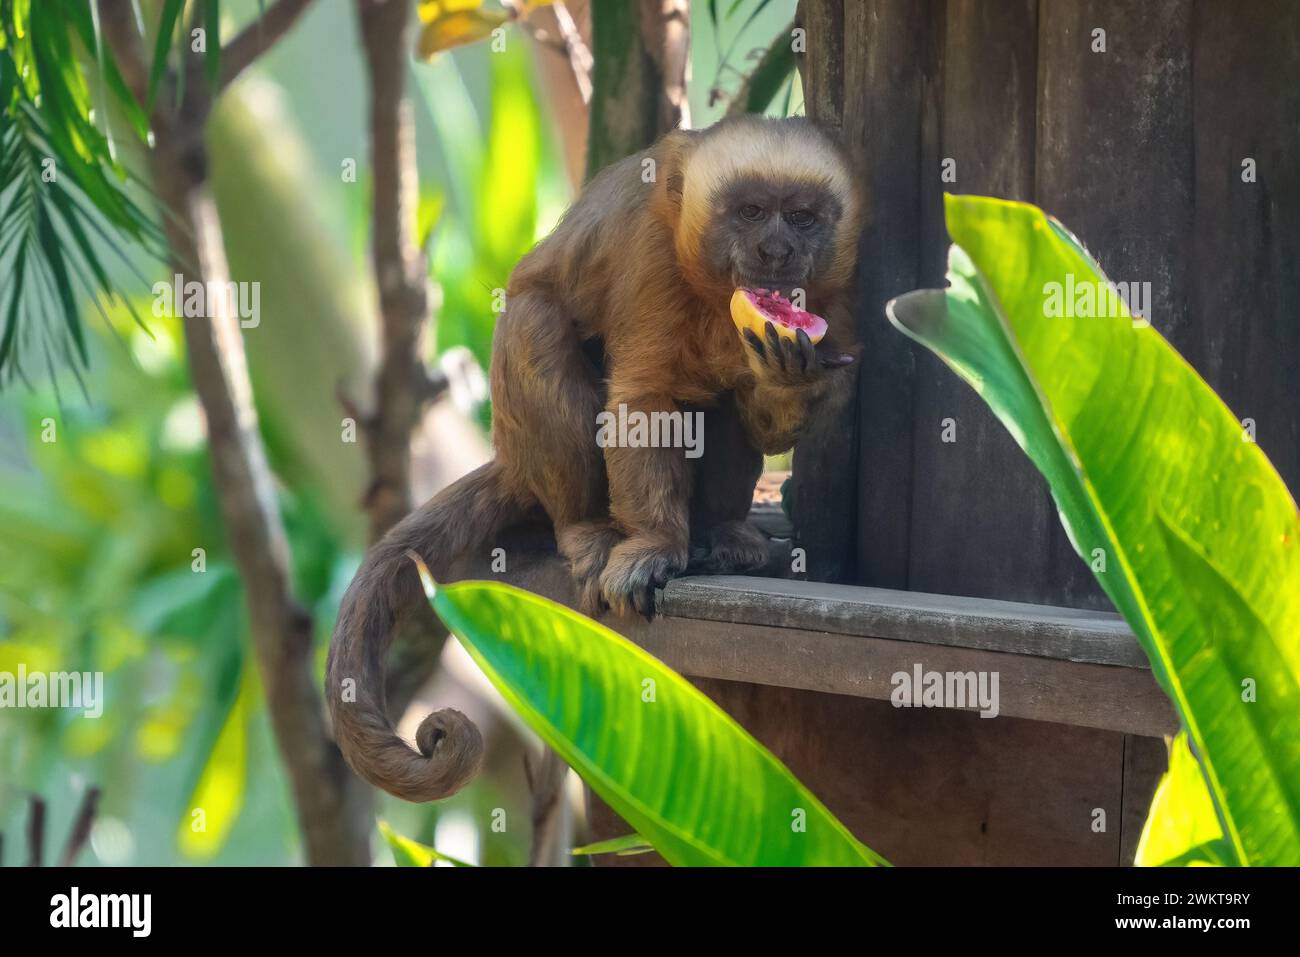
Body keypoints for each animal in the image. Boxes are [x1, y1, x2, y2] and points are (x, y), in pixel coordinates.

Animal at [327, 113, 863, 800]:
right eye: (749, 213)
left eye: (800, 217)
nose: (776, 252)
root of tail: (512, 458)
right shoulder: (652, 254)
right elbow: (639, 398)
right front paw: (655, 545)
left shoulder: (833, 296)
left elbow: (763, 416)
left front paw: (785, 378)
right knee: (536, 321)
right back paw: (588, 528)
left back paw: (720, 532)